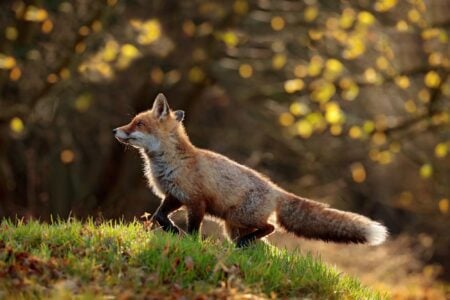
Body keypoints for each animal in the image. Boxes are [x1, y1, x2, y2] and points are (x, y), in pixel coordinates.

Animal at [112, 94, 386, 248]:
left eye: (138, 123)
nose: (115, 130)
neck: (172, 162)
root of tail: (276, 189)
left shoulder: (197, 201)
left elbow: (193, 231)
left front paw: (188, 242)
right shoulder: (175, 196)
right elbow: (159, 216)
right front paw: (171, 230)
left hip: (239, 218)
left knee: (270, 228)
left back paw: (245, 244)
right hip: (233, 225)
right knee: (265, 241)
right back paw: (248, 247)